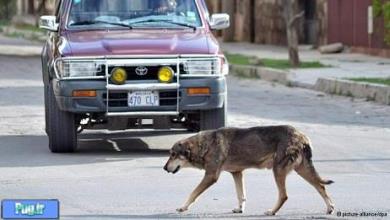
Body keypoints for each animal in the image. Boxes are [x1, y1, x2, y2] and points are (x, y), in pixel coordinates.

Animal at [163, 125, 334, 215]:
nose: (164, 168)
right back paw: (330, 208)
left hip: (278, 170)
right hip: (301, 170)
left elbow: (193, 193)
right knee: (321, 186)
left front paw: (183, 207)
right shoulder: (237, 173)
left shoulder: (211, 176)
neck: (205, 145)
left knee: (284, 195)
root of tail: (302, 136)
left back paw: (272, 211)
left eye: (173, 155)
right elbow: (241, 195)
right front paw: (240, 209)